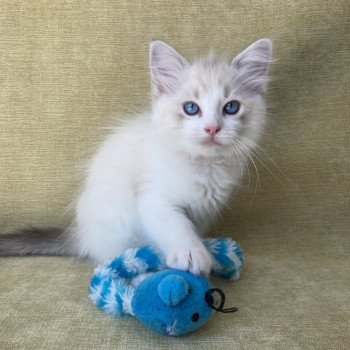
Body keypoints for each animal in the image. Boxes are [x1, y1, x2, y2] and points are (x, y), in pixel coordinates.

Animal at [0, 39, 272, 276]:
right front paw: (192, 254)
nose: (212, 128)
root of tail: (81, 236)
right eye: (191, 108)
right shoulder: (154, 198)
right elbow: (177, 226)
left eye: (231, 107)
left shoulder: (204, 209)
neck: (204, 165)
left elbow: (193, 227)